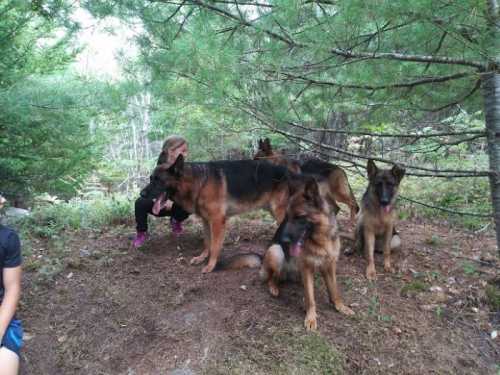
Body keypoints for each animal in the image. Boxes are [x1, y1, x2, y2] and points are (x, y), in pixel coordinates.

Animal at [141, 154, 290, 274]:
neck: (199, 183)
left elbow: (214, 247)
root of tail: (290, 172)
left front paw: (211, 265)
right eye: (150, 179)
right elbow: (207, 242)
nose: (141, 194)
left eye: (158, 180)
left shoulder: (217, 221)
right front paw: (202, 258)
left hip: (280, 213)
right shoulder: (206, 221)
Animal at [260, 176, 354, 332]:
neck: (321, 240)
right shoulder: (307, 268)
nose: (283, 240)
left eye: (299, 217)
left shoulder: (329, 266)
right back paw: (274, 288)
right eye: (287, 216)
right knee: (272, 278)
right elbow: (310, 297)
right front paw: (311, 318)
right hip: (276, 251)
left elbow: (334, 290)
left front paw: (340, 306)